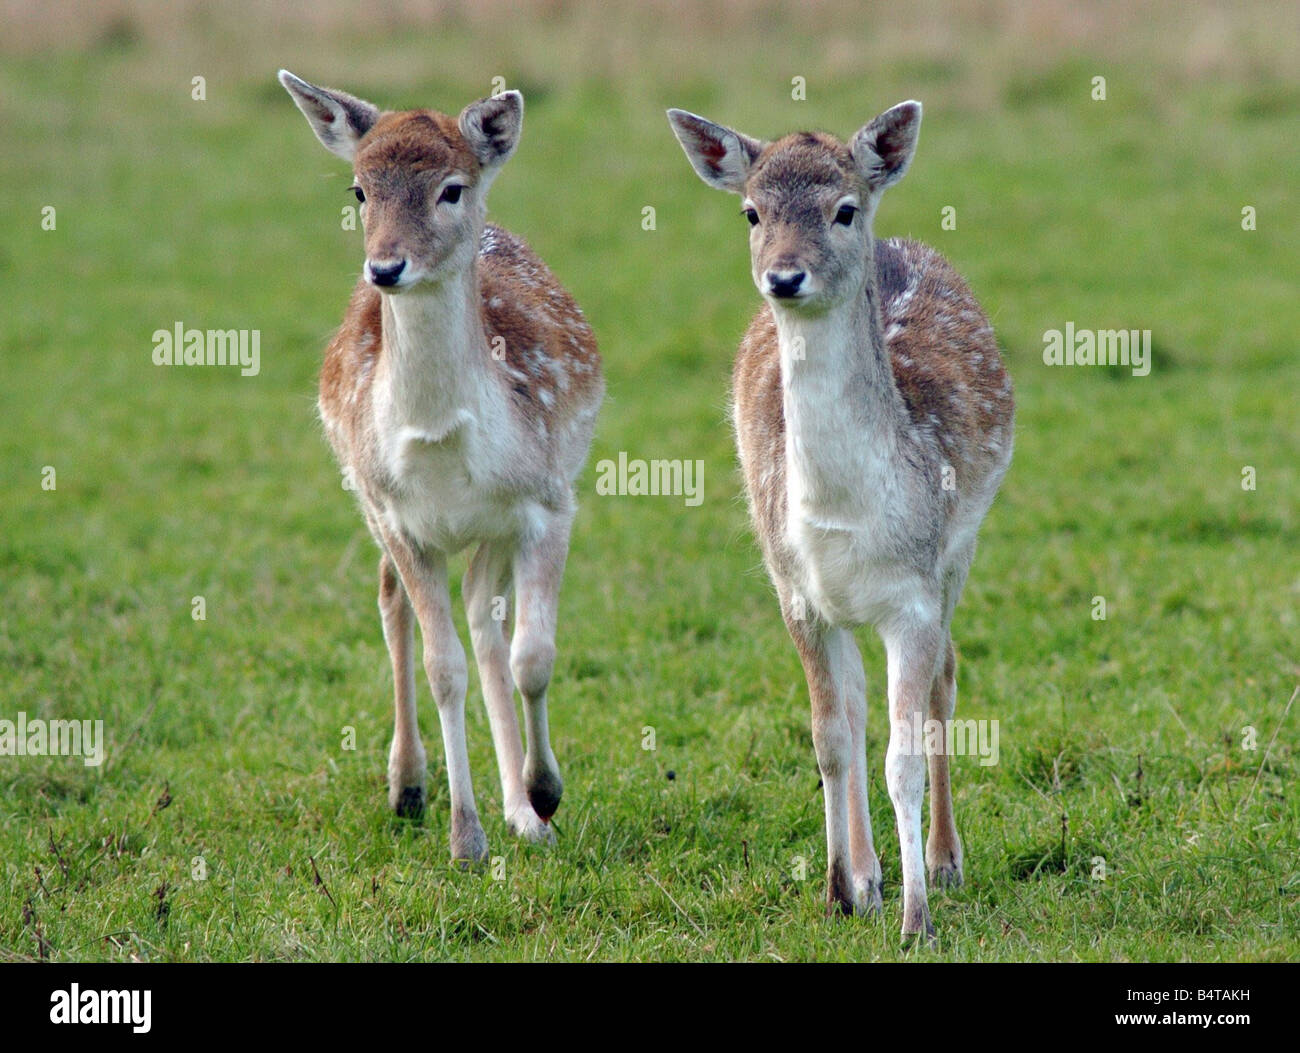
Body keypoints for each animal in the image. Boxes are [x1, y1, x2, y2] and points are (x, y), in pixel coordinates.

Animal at [279, 70, 603, 864]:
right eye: (359, 190)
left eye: (451, 189)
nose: (386, 266)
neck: (444, 440)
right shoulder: (398, 516)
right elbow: (441, 666)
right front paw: (465, 837)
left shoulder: (550, 502)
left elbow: (532, 654)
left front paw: (543, 794)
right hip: (369, 502)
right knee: (396, 600)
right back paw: (408, 786)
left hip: (491, 530)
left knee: (486, 619)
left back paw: (521, 808)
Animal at [668, 100, 1013, 939]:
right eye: (752, 212)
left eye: (843, 209)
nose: (784, 274)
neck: (846, 515)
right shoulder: (797, 594)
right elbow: (830, 738)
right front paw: (840, 889)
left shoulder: (915, 592)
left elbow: (905, 753)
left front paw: (918, 920)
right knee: (855, 713)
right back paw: (868, 872)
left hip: (960, 553)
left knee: (946, 679)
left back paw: (945, 861)